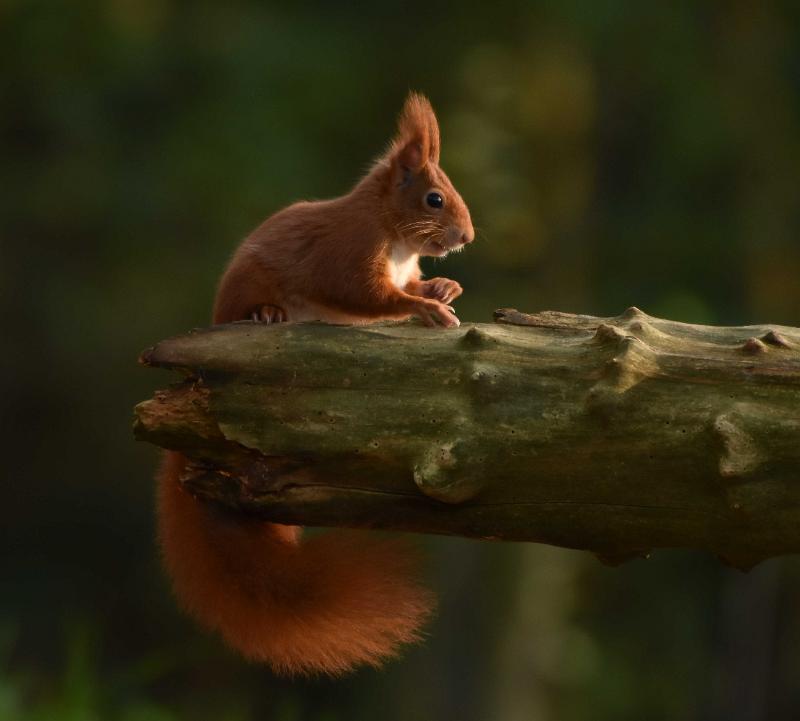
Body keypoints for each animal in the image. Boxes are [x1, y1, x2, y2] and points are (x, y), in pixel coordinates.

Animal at [159, 91, 476, 676]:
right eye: (435, 199)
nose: (466, 238)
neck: (393, 236)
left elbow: (410, 285)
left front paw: (443, 287)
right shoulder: (348, 257)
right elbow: (370, 298)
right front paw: (424, 308)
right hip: (248, 290)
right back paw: (266, 314)